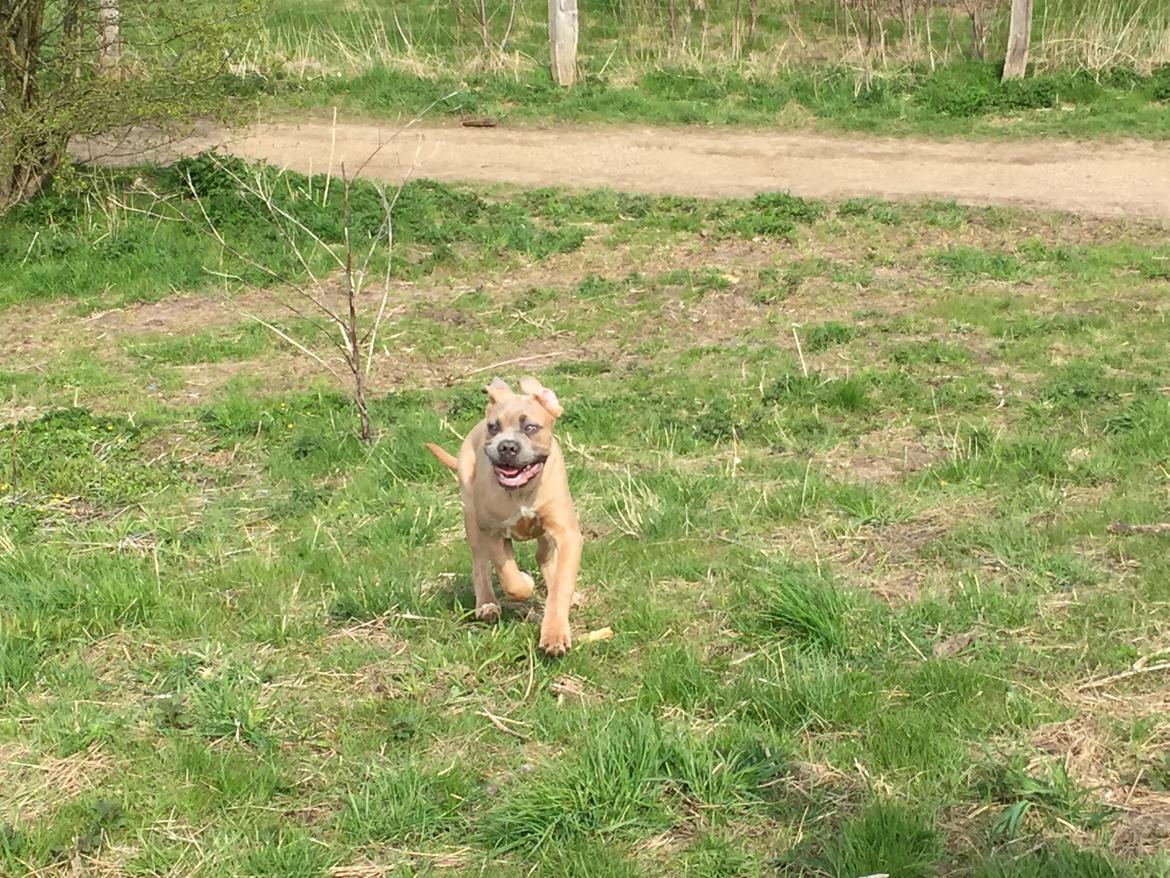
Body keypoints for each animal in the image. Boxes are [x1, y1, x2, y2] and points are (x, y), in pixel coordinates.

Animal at [423, 374, 582, 655]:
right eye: (494, 428)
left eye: (530, 428)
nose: (507, 446)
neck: (521, 492)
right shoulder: (493, 530)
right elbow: (509, 577)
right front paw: (524, 583)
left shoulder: (567, 533)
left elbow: (562, 582)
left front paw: (554, 633)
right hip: (472, 518)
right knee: (479, 563)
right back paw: (486, 604)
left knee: (544, 555)